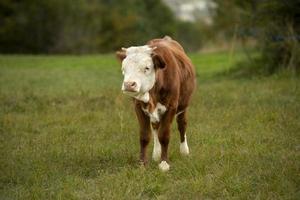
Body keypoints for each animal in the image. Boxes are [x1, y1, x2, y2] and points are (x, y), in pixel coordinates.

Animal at [116, 36, 196, 172]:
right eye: (123, 69)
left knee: (182, 125)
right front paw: (142, 163)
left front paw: (164, 163)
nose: (129, 84)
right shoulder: (138, 107)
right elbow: (144, 136)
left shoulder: (171, 107)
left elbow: (164, 135)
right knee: (155, 127)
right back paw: (157, 153)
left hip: (183, 106)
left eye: (147, 68)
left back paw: (184, 151)